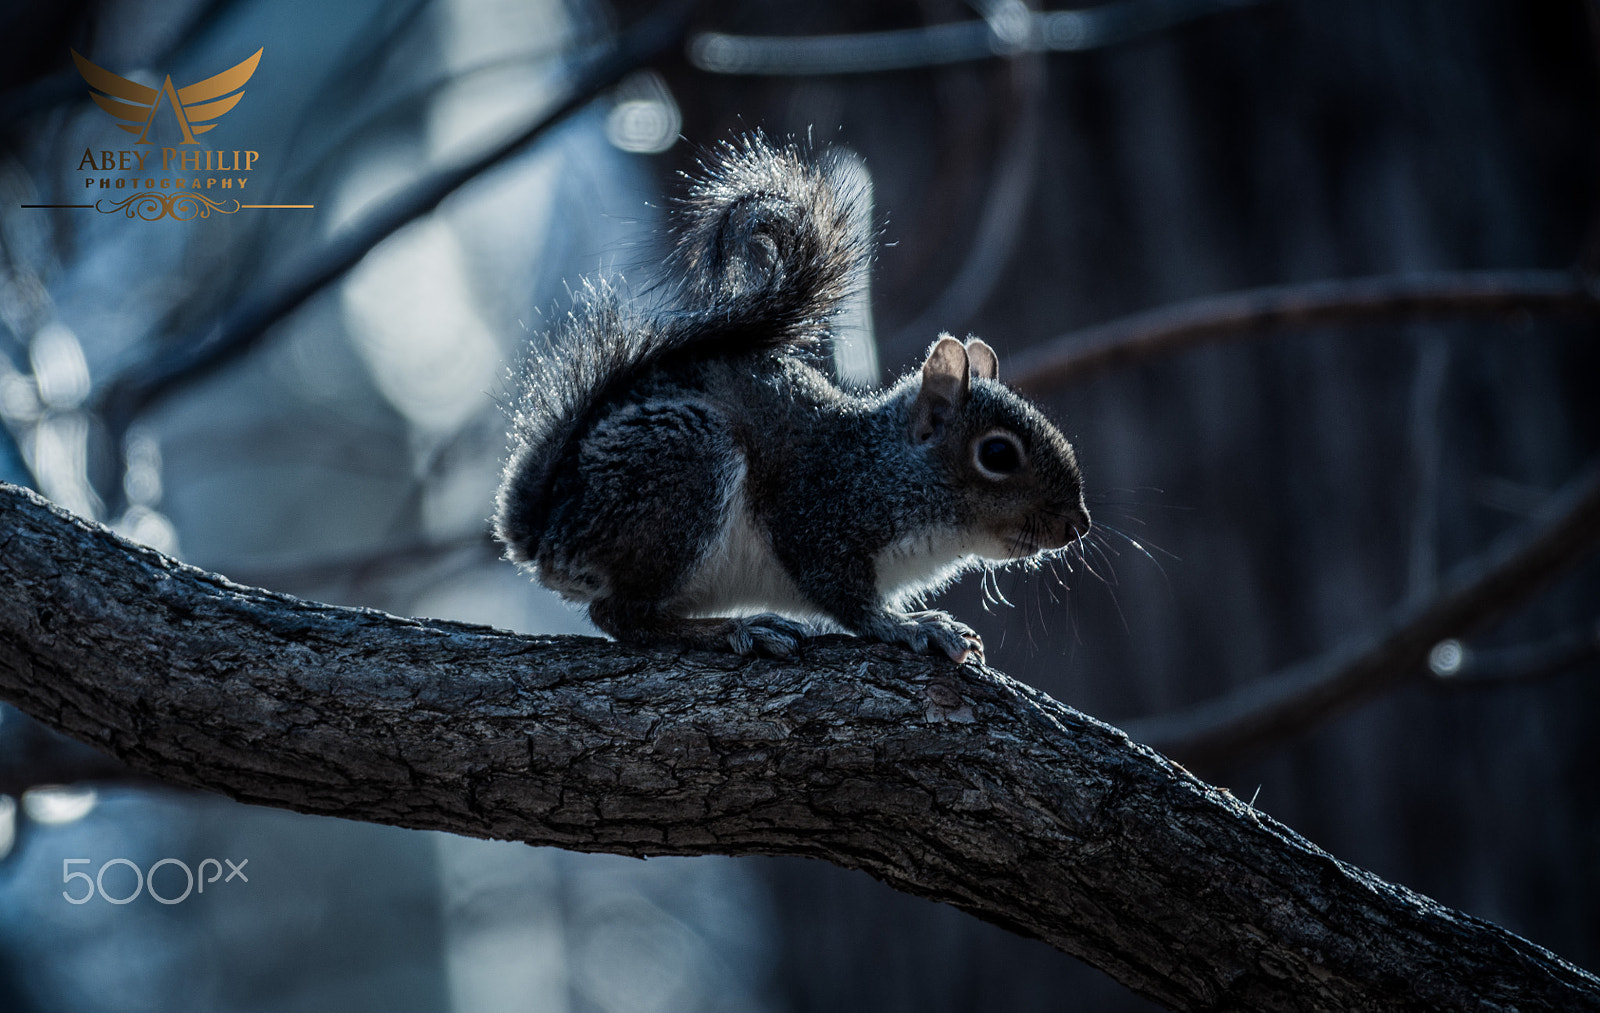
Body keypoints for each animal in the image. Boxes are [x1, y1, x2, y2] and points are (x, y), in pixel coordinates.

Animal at [494, 136, 1089, 663]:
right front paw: (907, 626)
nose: (1078, 524)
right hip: (683, 470)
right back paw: (735, 630)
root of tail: (546, 534)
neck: (886, 466)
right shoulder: (817, 514)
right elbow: (845, 597)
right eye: (997, 454)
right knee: (622, 616)